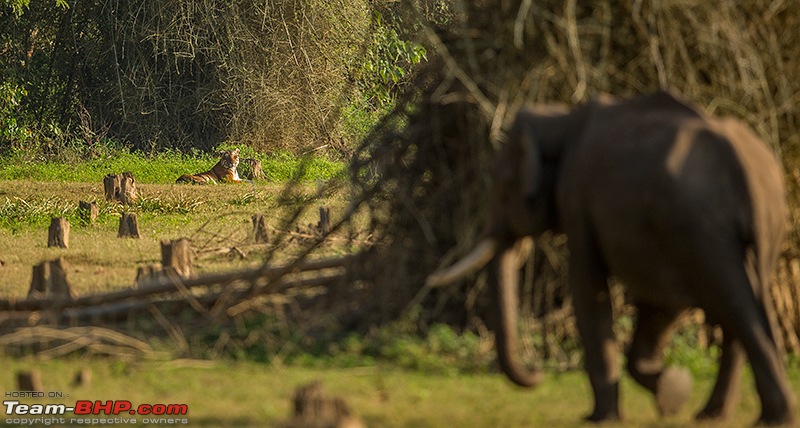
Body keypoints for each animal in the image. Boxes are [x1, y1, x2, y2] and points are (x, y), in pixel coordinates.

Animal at [424, 90, 792, 424]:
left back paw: (772, 417)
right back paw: (716, 415)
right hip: (747, 227)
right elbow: (661, 304)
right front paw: (673, 390)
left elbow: (589, 289)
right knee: (739, 306)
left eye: (502, 187)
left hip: (701, 225)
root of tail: (748, 173)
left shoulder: (578, 197)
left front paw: (600, 417)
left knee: (736, 307)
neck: (559, 118)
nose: (538, 374)